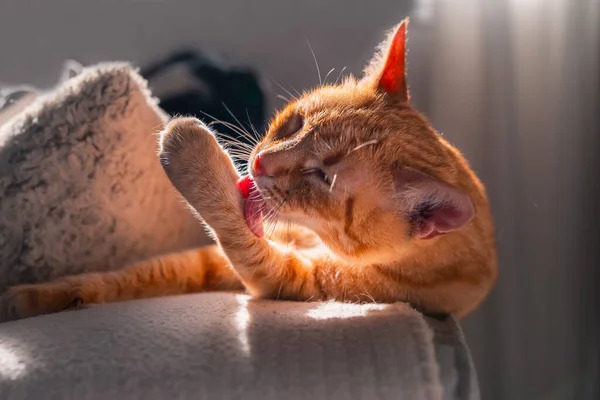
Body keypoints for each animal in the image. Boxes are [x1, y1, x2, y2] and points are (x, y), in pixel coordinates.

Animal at [0, 18, 496, 322]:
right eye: (294, 123)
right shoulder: (205, 261)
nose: (259, 162)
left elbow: (237, 235)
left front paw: (188, 147)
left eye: (323, 178)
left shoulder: (289, 281)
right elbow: (132, 276)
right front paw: (39, 296)